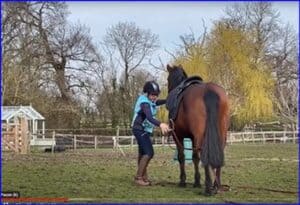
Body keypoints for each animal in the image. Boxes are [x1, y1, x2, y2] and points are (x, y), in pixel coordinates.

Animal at [166, 64, 230, 195]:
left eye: (167, 79)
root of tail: (209, 90)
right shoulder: (192, 137)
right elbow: (195, 157)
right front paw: (196, 182)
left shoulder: (178, 136)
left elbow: (182, 156)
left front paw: (183, 181)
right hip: (221, 133)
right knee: (219, 152)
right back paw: (216, 185)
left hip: (200, 134)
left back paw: (208, 188)